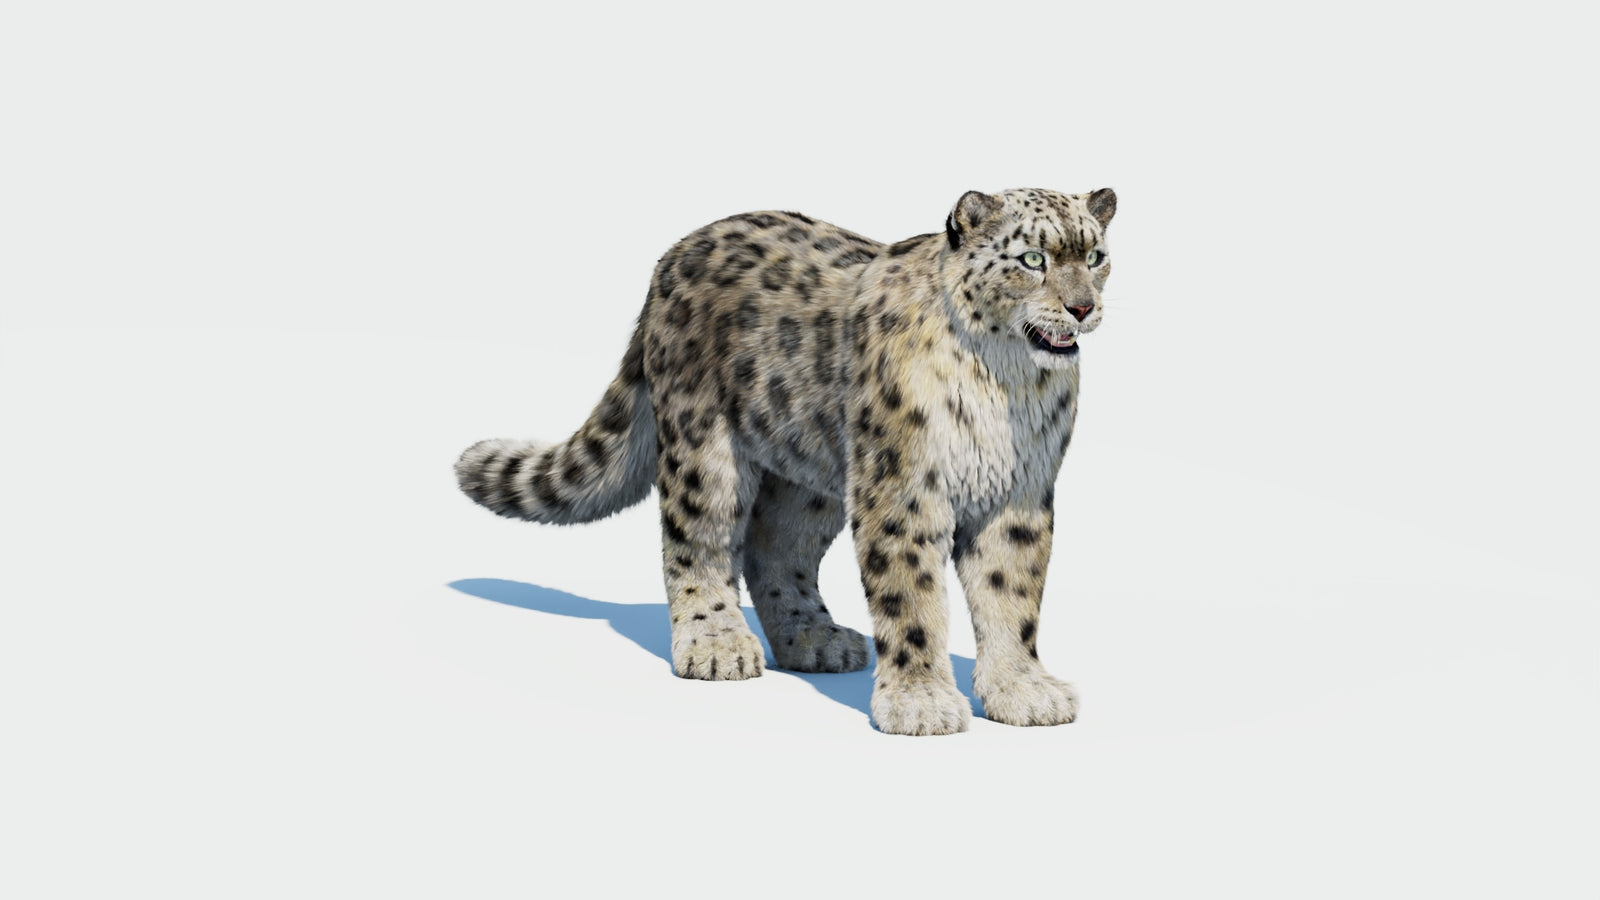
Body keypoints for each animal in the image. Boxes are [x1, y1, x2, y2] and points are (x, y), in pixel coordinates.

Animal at [455, 187, 1116, 735]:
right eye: (1032, 259)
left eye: (1095, 255)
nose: (1082, 308)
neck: (1006, 385)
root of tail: (673, 256)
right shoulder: (902, 488)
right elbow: (912, 597)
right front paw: (921, 703)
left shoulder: (1019, 493)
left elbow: (1012, 594)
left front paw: (1022, 691)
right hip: (706, 450)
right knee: (698, 541)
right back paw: (717, 644)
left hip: (811, 473)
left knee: (774, 547)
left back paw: (815, 639)